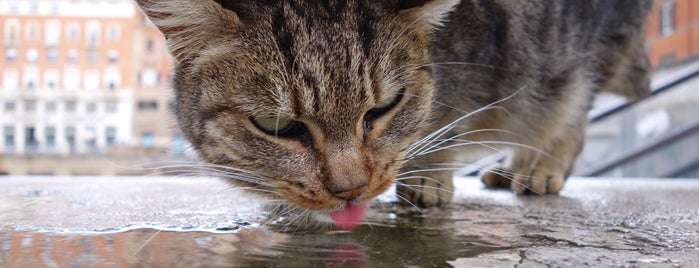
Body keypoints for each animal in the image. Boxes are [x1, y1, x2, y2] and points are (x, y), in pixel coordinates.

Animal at [135, 1, 652, 229]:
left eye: (384, 107)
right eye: (276, 126)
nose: (350, 190)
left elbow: (445, 113)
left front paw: (427, 176)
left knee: (572, 102)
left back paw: (540, 165)